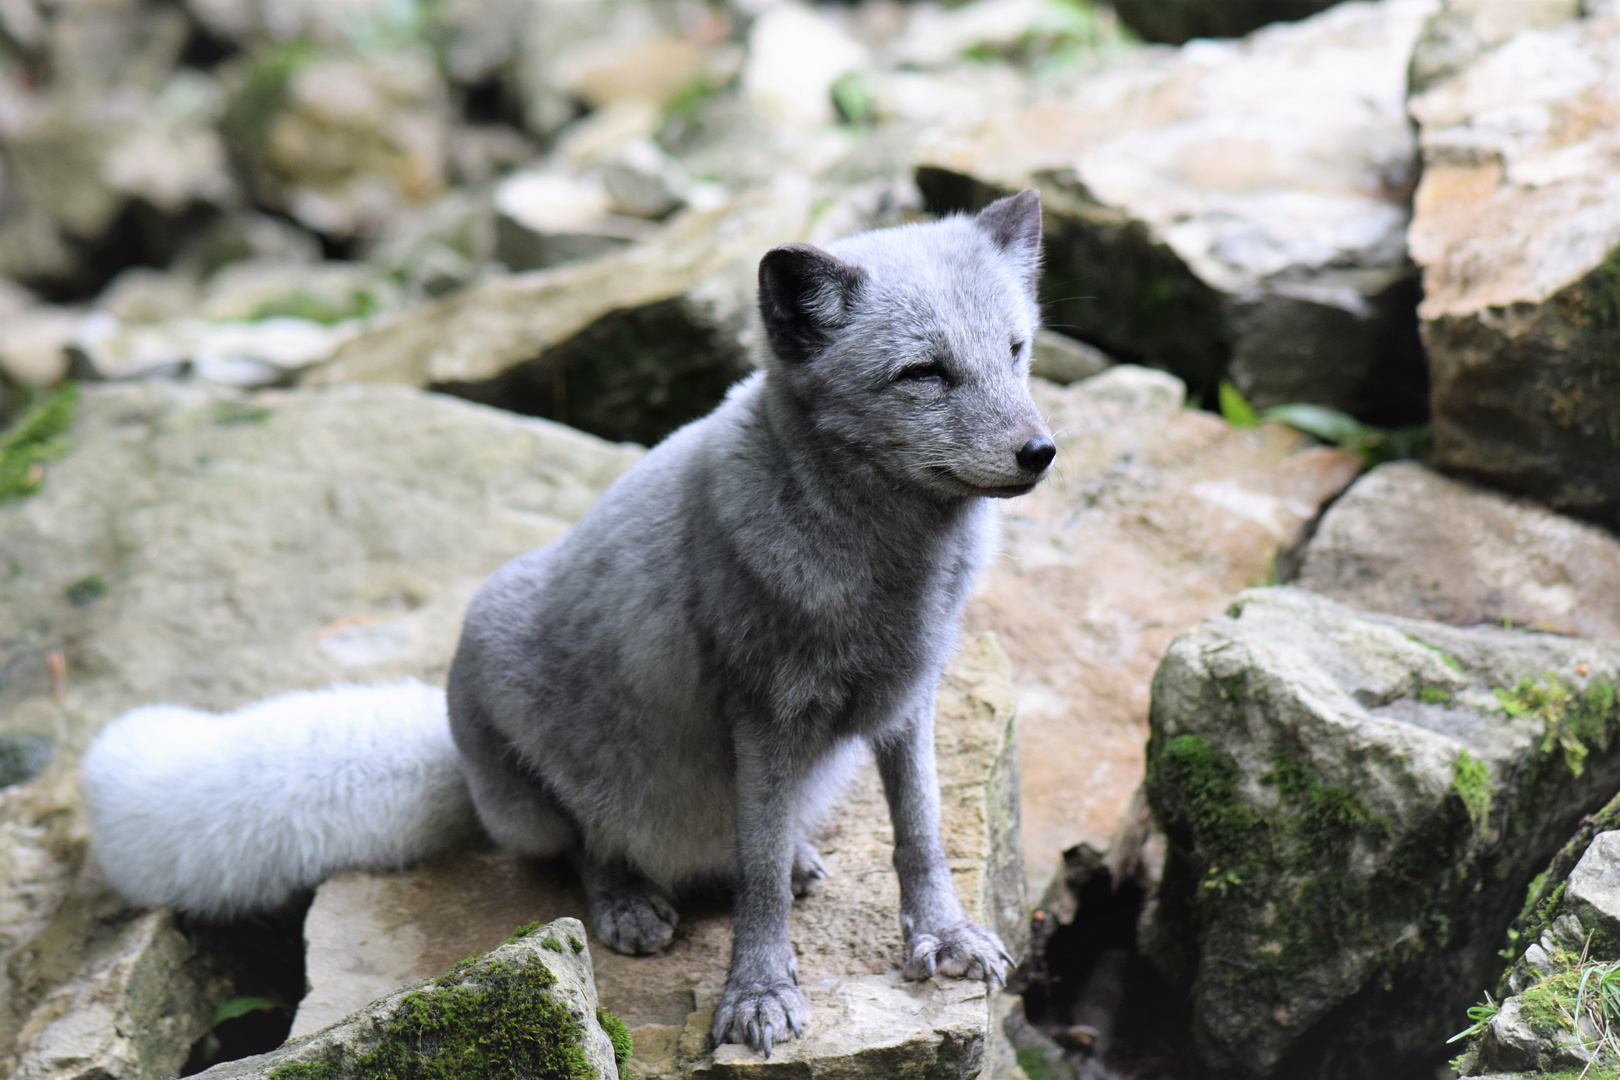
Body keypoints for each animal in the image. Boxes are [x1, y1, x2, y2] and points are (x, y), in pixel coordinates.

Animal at [82, 190, 1056, 1049]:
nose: (1040, 452)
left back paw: (796, 856)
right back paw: (630, 899)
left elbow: (921, 834)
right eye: (923, 373)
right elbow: (757, 889)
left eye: (1016, 351)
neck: (889, 573)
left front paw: (945, 936)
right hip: (529, 744)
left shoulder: (908, 699)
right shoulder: (761, 716)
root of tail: (455, 757)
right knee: (590, 845)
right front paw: (758, 992)